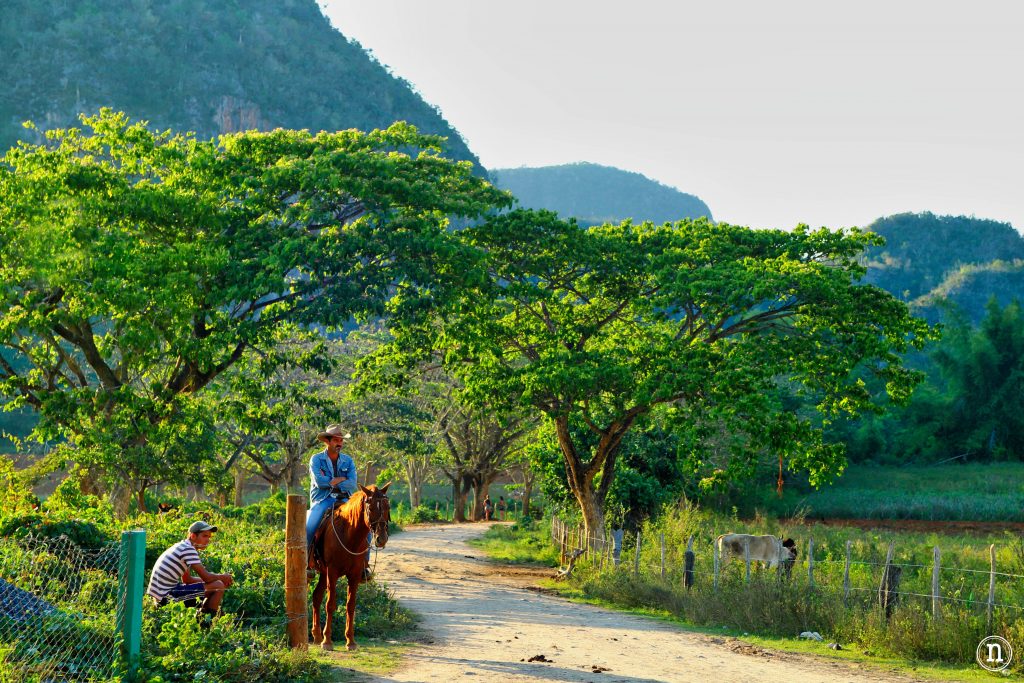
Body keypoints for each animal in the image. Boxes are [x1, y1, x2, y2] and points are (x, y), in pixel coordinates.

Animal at [310, 483, 391, 651]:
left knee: (316, 596)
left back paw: (316, 635)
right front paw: (327, 641)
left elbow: (351, 606)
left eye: (388, 506)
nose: (382, 538)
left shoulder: (354, 575)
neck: (349, 536)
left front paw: (350, 641)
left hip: (323, 574)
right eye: (370, 508)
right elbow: (330, 605)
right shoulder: (332, 573)